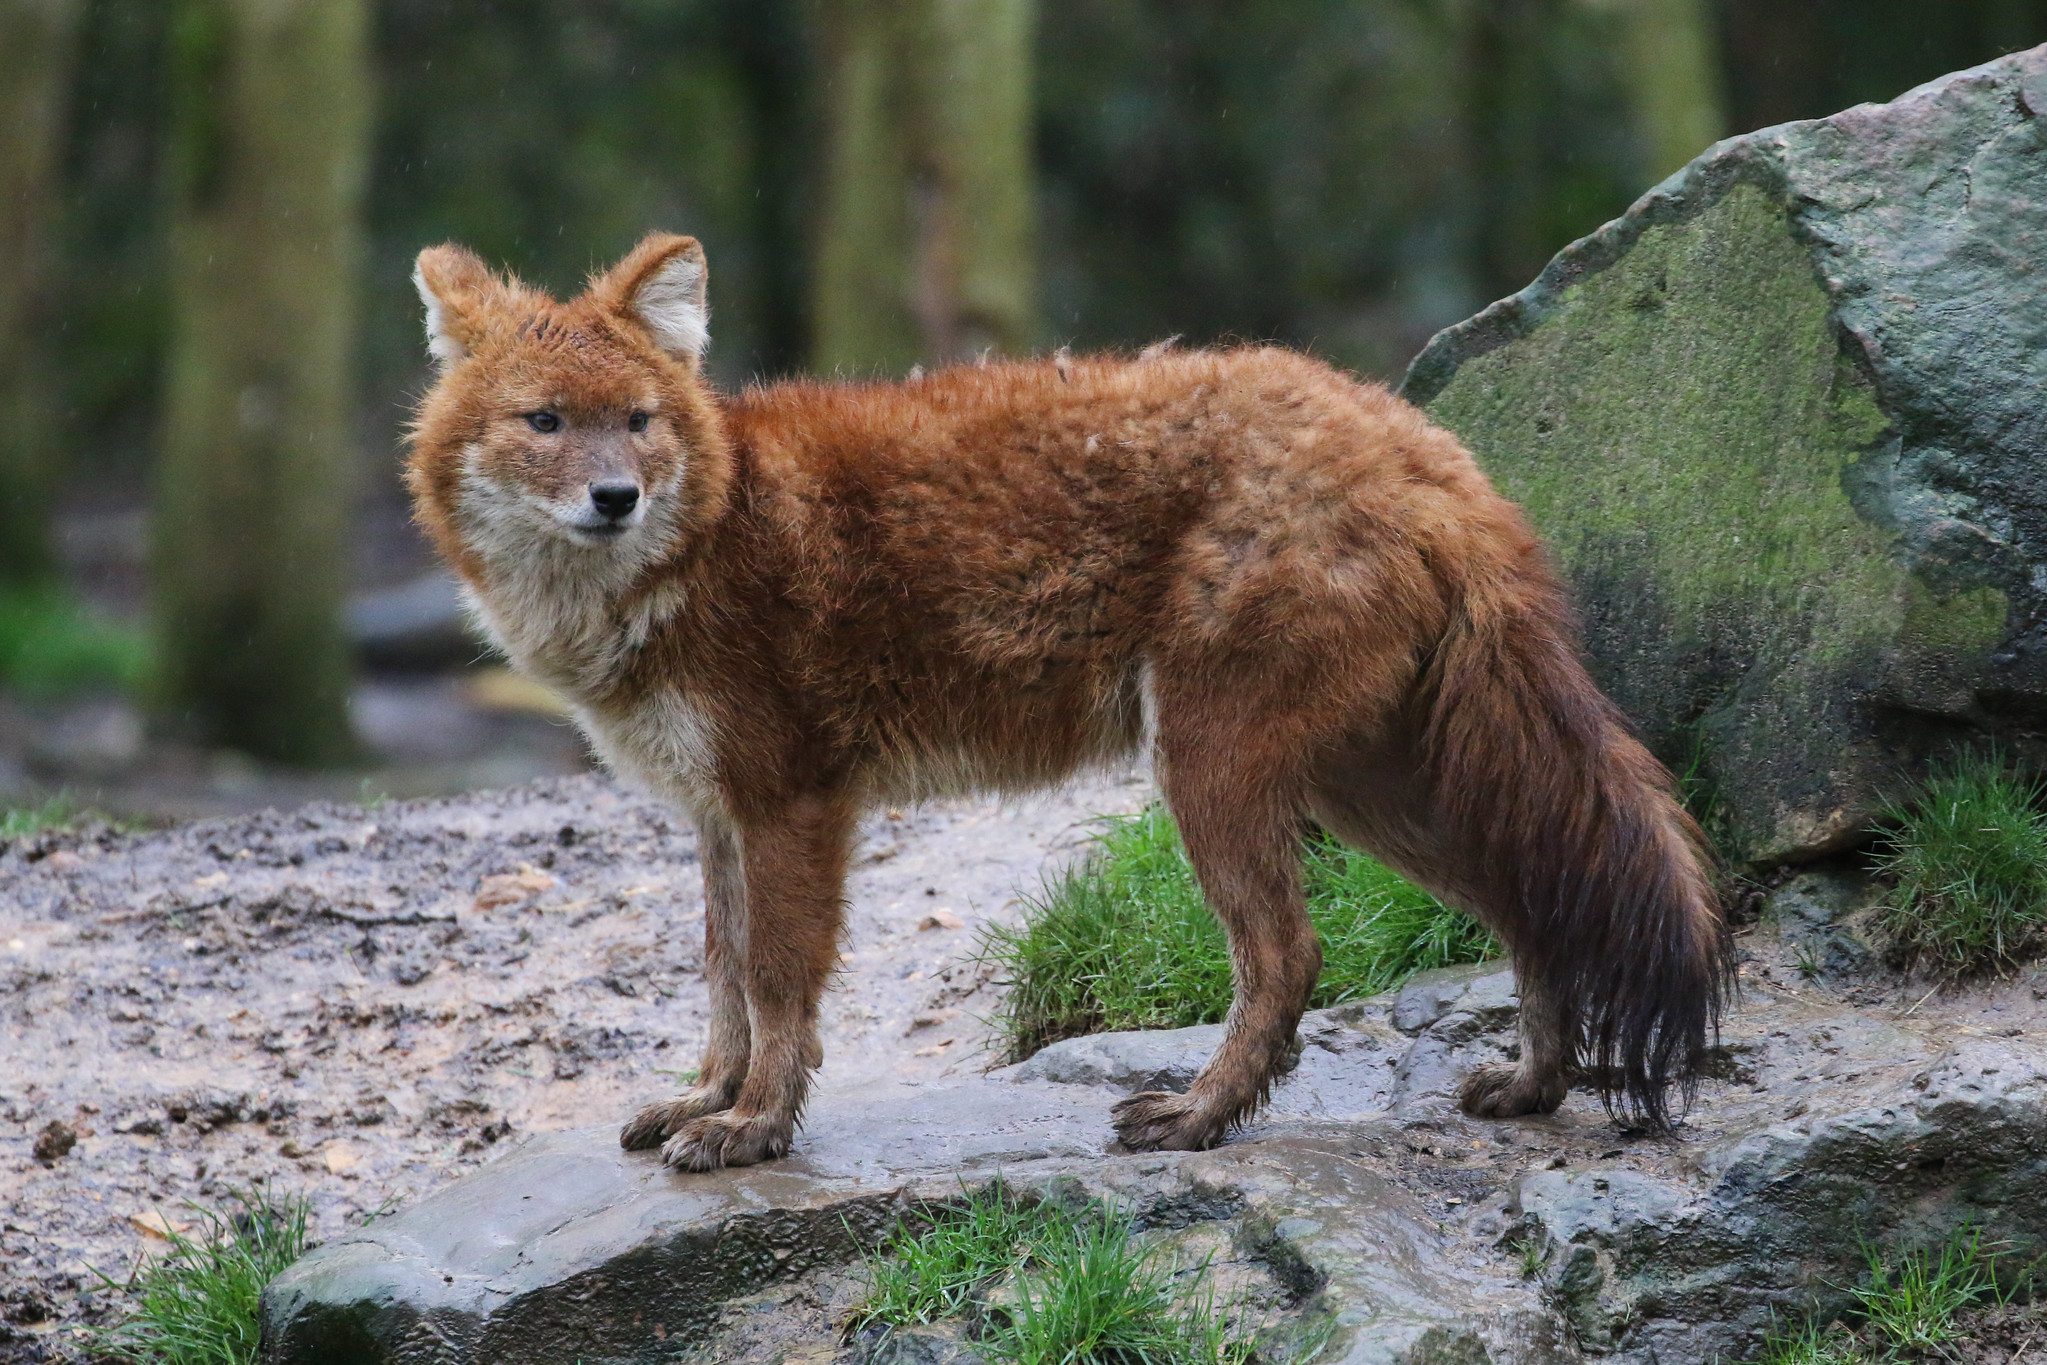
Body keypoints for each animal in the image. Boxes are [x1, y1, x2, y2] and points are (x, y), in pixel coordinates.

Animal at [411, 229, 1727, 1170]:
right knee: (1526, 898)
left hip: (1208, 762)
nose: (616, 497)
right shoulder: (714, 815)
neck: (703, 538)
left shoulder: (791, 803)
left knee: (1289, 955)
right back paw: (1533, 1087)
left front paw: (752, 1129)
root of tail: (1420, 438)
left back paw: (1197, 1120)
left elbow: (778, 984)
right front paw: (706, 1099)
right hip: (1365, 786)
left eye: (637, 421)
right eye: (545, 423)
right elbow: (724, 981)